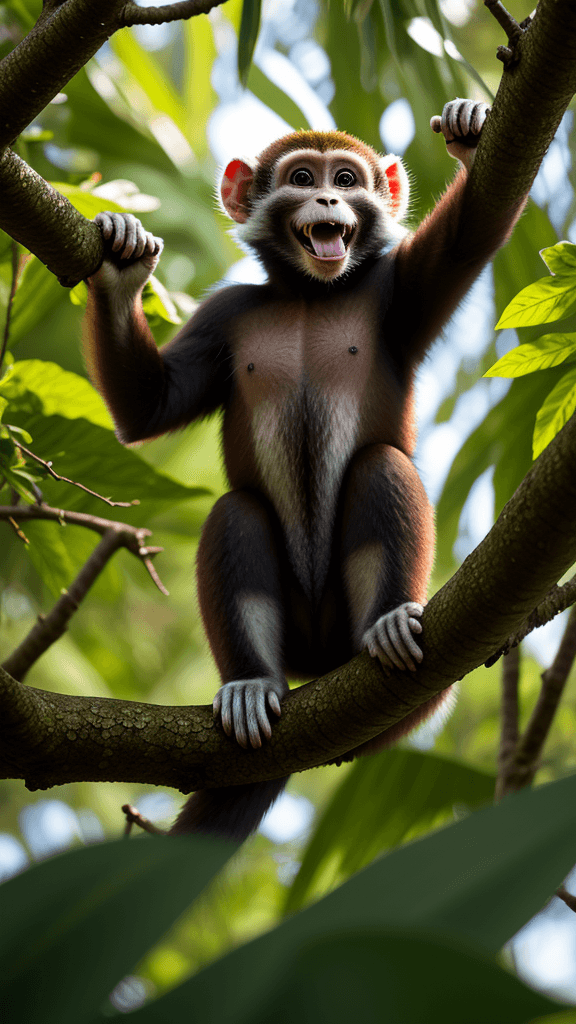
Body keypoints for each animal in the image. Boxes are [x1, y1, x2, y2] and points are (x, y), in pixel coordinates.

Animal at [84, 99, 526, 842]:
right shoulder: (226, 313)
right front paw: (120, 272)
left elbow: (471, 238)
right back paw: (252, 684)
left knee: (381, 467)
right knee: (235, 511)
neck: (310, 296)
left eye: (346, 179)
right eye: (301, 178)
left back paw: (386, 624)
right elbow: (150, 411)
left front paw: (470, 136)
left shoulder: (392, 289)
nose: (327, 200)